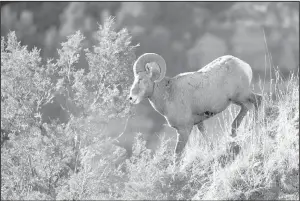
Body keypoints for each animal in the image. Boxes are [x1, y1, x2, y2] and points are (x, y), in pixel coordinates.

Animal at [127, 52, 262, 164]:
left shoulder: (184, 130)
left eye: (140, 79)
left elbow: (177, 155)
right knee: (249, 106)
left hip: (241, 96)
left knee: (255, 102)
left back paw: (250, 128)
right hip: (238, 100)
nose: (131, 98)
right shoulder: (199, 123)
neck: (168, 93)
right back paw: (234, 132)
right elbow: (207, 139)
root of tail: (243, 65)